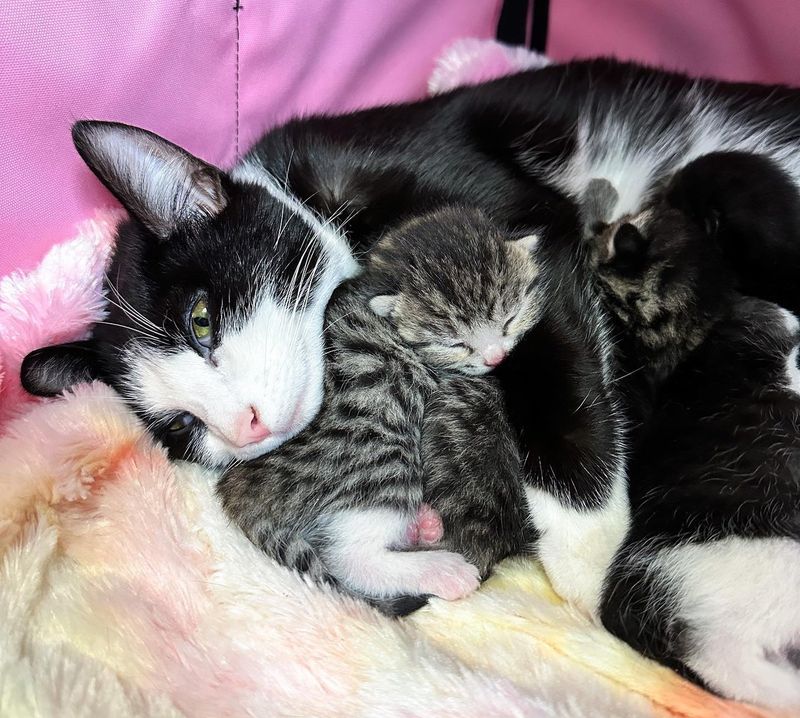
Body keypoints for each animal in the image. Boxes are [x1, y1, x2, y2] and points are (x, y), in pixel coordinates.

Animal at [216, 207, 536, 612]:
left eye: (509, 319)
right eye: (455, 343)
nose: (496, 357)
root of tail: (235, 490)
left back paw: (424, 526)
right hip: (380, 442)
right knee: (349, 556)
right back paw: (444, 571)